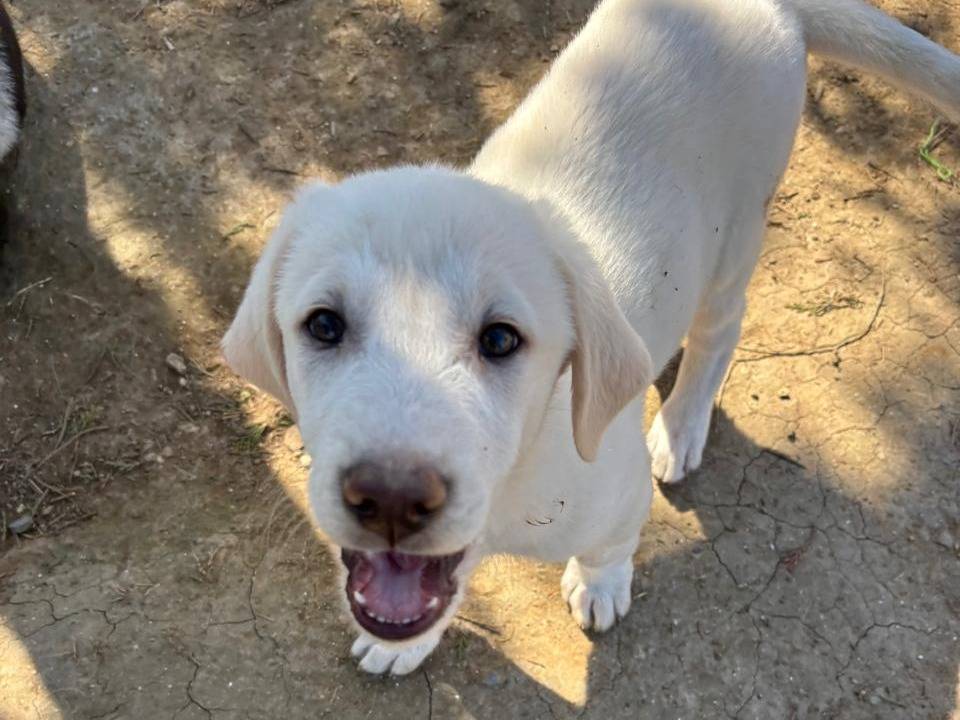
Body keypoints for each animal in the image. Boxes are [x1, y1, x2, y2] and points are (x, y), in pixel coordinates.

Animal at [225, 0, 960, 676]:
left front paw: (600, 586)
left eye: (501, 340)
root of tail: (768, 5)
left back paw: (682, 425)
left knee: (720, 329)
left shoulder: (617, 492)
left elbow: (611, 547)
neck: (514, 483)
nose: (392, 498)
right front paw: (399, 644)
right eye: (324, 325)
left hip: (737, 236)